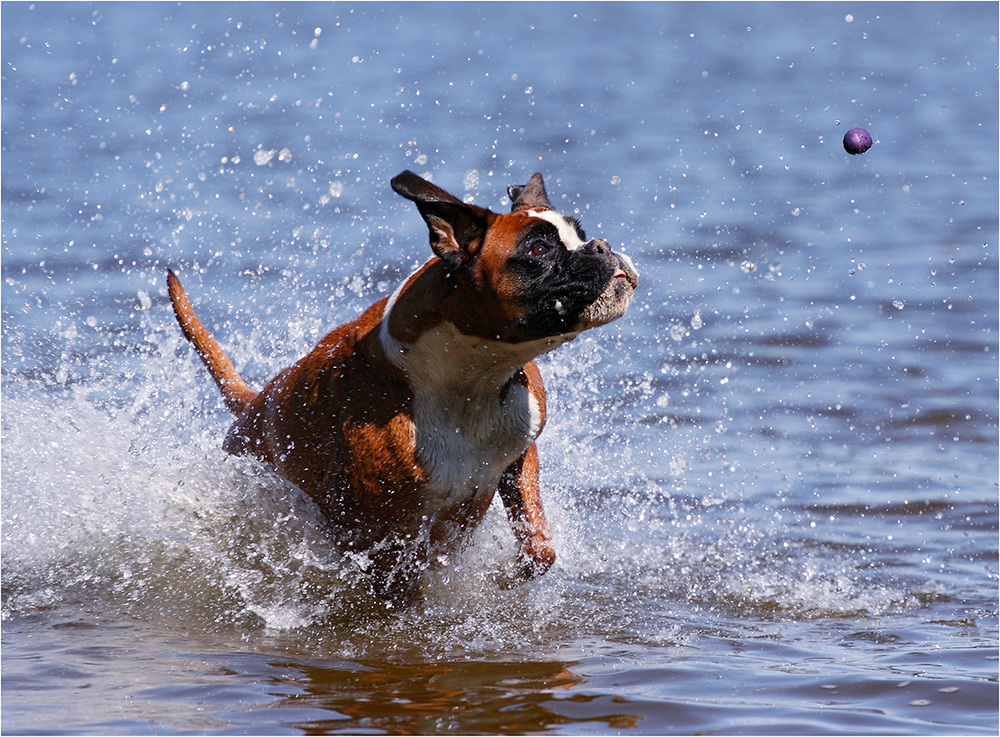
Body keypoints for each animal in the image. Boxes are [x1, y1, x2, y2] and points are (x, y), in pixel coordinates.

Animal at [167, 171, 636, 604]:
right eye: (538, 250)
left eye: (581, 234)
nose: (602, 246)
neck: (468, 379)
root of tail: (253, 405)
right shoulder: (376, 538)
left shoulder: (518, 456)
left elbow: (538, 548)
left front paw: (507, 577)